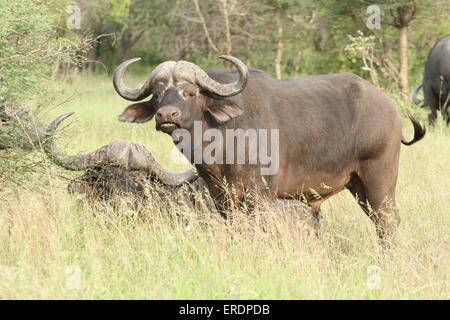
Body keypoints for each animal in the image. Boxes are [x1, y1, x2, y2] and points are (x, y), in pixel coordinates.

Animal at [112, 55, 426, 245]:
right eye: (157, 94)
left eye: (190, 92)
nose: (167, 115)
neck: (224, 141)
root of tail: (390, 108)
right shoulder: (222, 198)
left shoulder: (259, 197)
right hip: (357, 184)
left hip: (379, 179)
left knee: (387, 222)